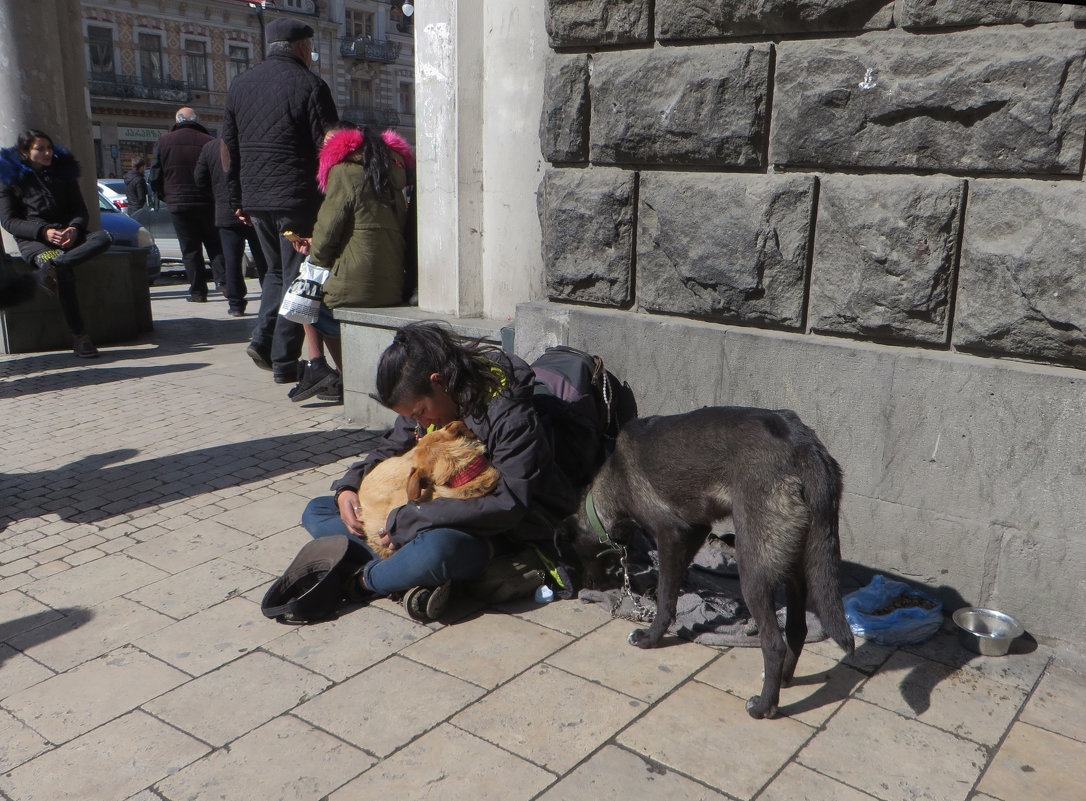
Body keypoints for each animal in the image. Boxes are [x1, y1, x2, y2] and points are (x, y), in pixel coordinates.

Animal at [569, 405, 855, 716]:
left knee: (773, 644)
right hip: (793, 562)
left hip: (752, 572)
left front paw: (650, 637)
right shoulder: (695, 530)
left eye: (578, 555)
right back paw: (784, 680)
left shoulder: (670, 534)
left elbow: (665, 597)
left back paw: (764, 706)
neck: (614, 478)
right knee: (797, 629)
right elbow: (674, 582)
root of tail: (803, 444)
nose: (588, 586)